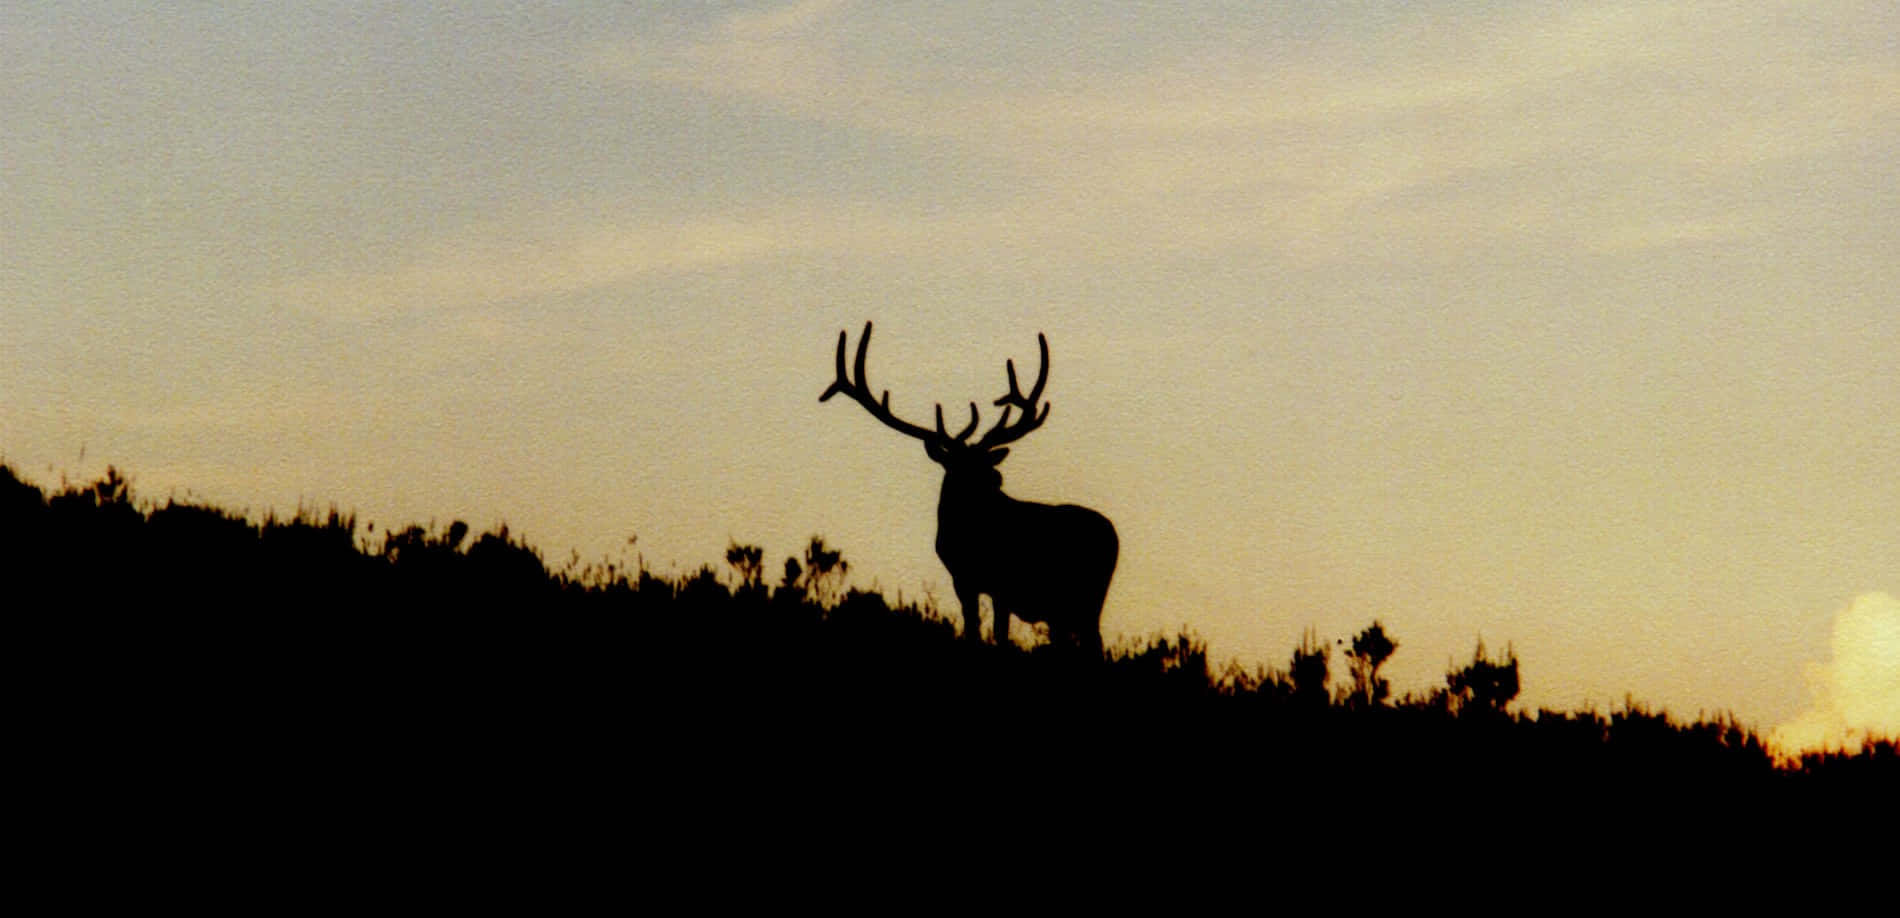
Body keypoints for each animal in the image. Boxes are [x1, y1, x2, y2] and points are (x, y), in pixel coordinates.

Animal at [820, 321, 1118, 657]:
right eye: (961, 466)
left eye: (984, 463)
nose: (997, 478)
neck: (963, 534)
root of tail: (1113, 535)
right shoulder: (962, 579)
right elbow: (972, 629)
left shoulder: (1003, 581)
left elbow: (999, 634)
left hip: (1085, 595)